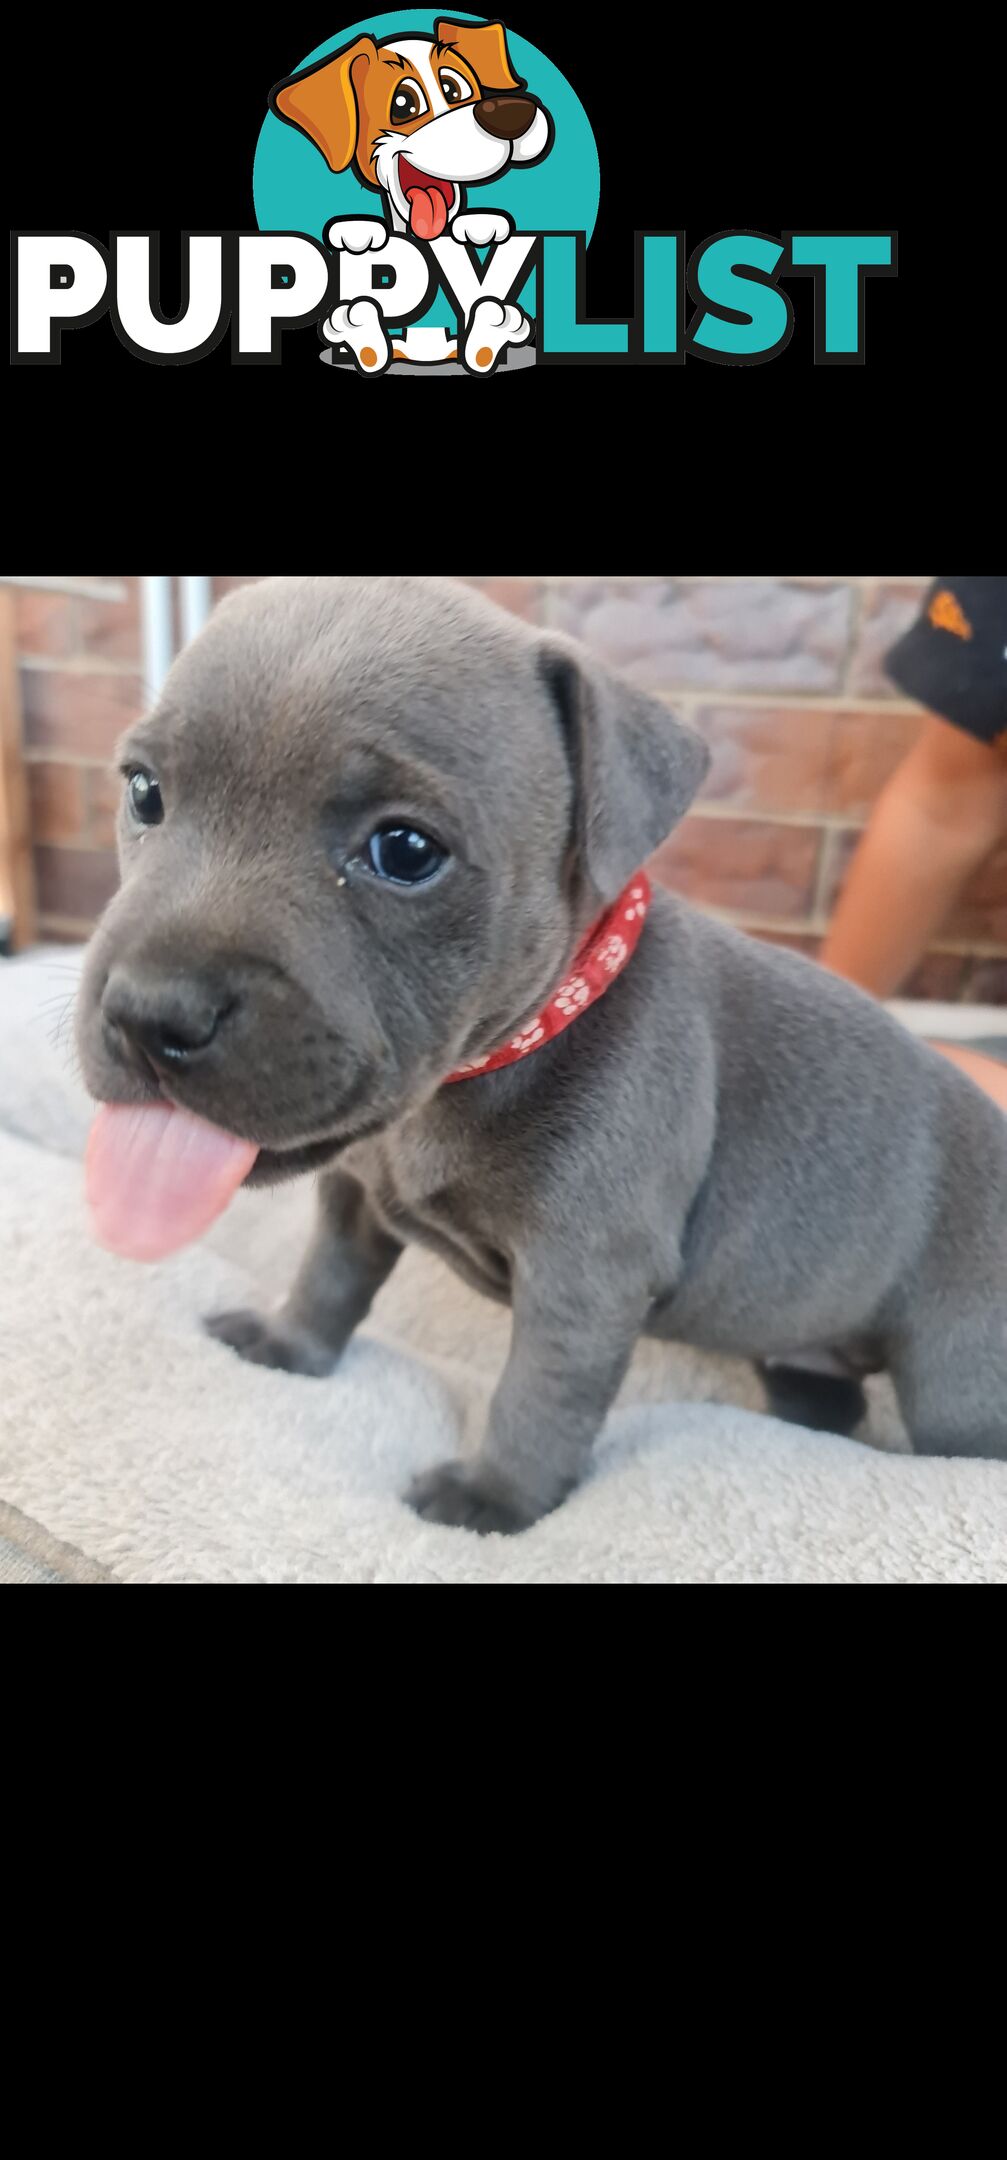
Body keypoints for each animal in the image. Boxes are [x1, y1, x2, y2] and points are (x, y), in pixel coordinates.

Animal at [76, 570, 1007, 1520]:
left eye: (405, 850)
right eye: (144, 792)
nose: (150, 1012)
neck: (484, 1068)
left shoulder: (582, 1281)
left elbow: (538, 1396)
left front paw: (493, 1499)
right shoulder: (351, 1194)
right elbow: (328, 1277)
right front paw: (288, 1343)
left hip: (960, 1373)